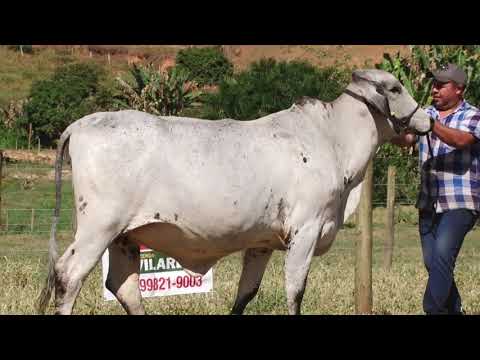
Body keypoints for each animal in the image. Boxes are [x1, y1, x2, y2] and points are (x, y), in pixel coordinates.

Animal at [36, 69, 432, 314]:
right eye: (395, 88)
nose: (426, 119)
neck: (332, 139)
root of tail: (83, 122)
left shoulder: (262, 242)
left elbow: (246, 294)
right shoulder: (305, 231)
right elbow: (295, 291)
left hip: (124, 237)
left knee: (123, 286)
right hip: (98, 227)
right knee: (68, 275)